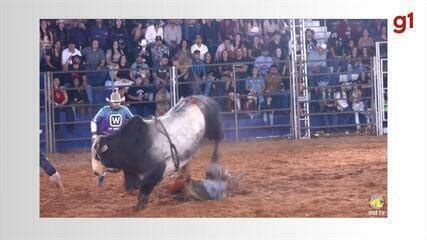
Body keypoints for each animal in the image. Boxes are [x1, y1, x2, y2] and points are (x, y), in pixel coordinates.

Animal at [91, 94, 224, 211]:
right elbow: (133, 187)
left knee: (217, 143)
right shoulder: (131, 172)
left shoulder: (157, 169)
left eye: (97, 156)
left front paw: (140, 206)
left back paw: (213, 166)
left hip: (214, 129)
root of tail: (202, 99)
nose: (95, 172)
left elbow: (144, 189)